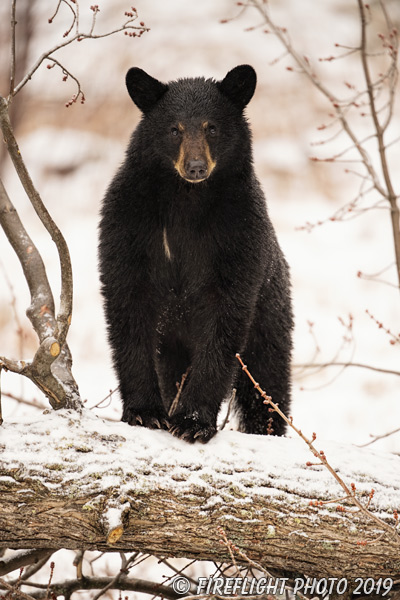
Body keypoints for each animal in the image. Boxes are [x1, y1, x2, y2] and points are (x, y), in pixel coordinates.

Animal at [99, 65, 294, 442]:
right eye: (174, 129)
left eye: (211, 127)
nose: (195, 167)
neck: (186, 201)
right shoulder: (129, 224)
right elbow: (128, 305)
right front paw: (145, 411)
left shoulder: (238, 233)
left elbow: (225, 316)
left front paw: (192, 421)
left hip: (270, 316)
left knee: (267, 382)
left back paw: (268, 430)